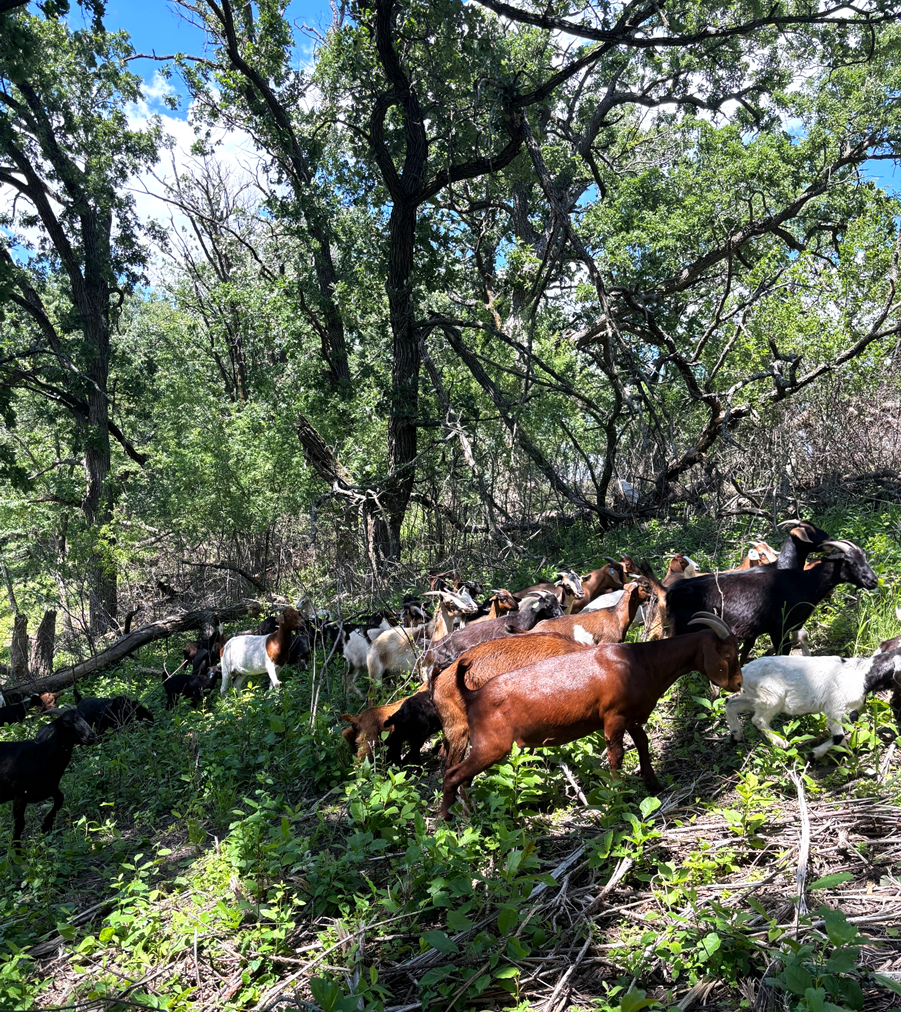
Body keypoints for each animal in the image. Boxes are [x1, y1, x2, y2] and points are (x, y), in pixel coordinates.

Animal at [0, 708, 97, 850]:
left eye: (83, 717)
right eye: (67, 722)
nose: (91, 736)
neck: (42, 754)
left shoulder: (47, 787)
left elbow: (60, 798)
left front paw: (46, 827)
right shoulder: (20, 795)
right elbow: (19, 824)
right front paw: (17, 851)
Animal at [439, 611, 741, 817]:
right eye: (727, 654)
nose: (738, 684)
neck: (641, 662)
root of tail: (473, 694)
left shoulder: (631, 716)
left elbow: (643, 745)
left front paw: (653, 784)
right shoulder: (614, 718)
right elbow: (617, 754)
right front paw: (617, 798)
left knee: (463, 778)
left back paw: (470, 816)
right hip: (491, 746)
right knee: (453, 774)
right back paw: (447, 821)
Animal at [664, 538, 874, 663]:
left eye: (865, 558)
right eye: (849, 562)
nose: (872, 581)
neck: (805, 582)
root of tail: (673, 591)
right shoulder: (778, 627)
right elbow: (783, 650)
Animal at [724, 647, 898, 761]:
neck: (861, 674)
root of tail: (743, 672)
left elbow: (843, 732)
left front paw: (846, 753)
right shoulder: (834, 707)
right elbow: (838, 736)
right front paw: (813, 755)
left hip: (754, 696)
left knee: (731, 703)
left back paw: (736, 735)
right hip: (771, 696)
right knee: (757, 719)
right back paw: (781, 742)